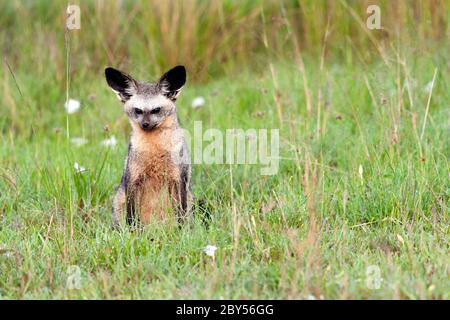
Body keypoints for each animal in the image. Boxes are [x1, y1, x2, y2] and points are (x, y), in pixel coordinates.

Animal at [106, 65, 193, 226]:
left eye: (156, 110)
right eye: (138, 110)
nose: (145, 124)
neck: (155, 151)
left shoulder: (179, 178)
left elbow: (181, 214)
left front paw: (182, 230)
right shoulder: (133, 178)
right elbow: (131, 218)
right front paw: (132, 231)